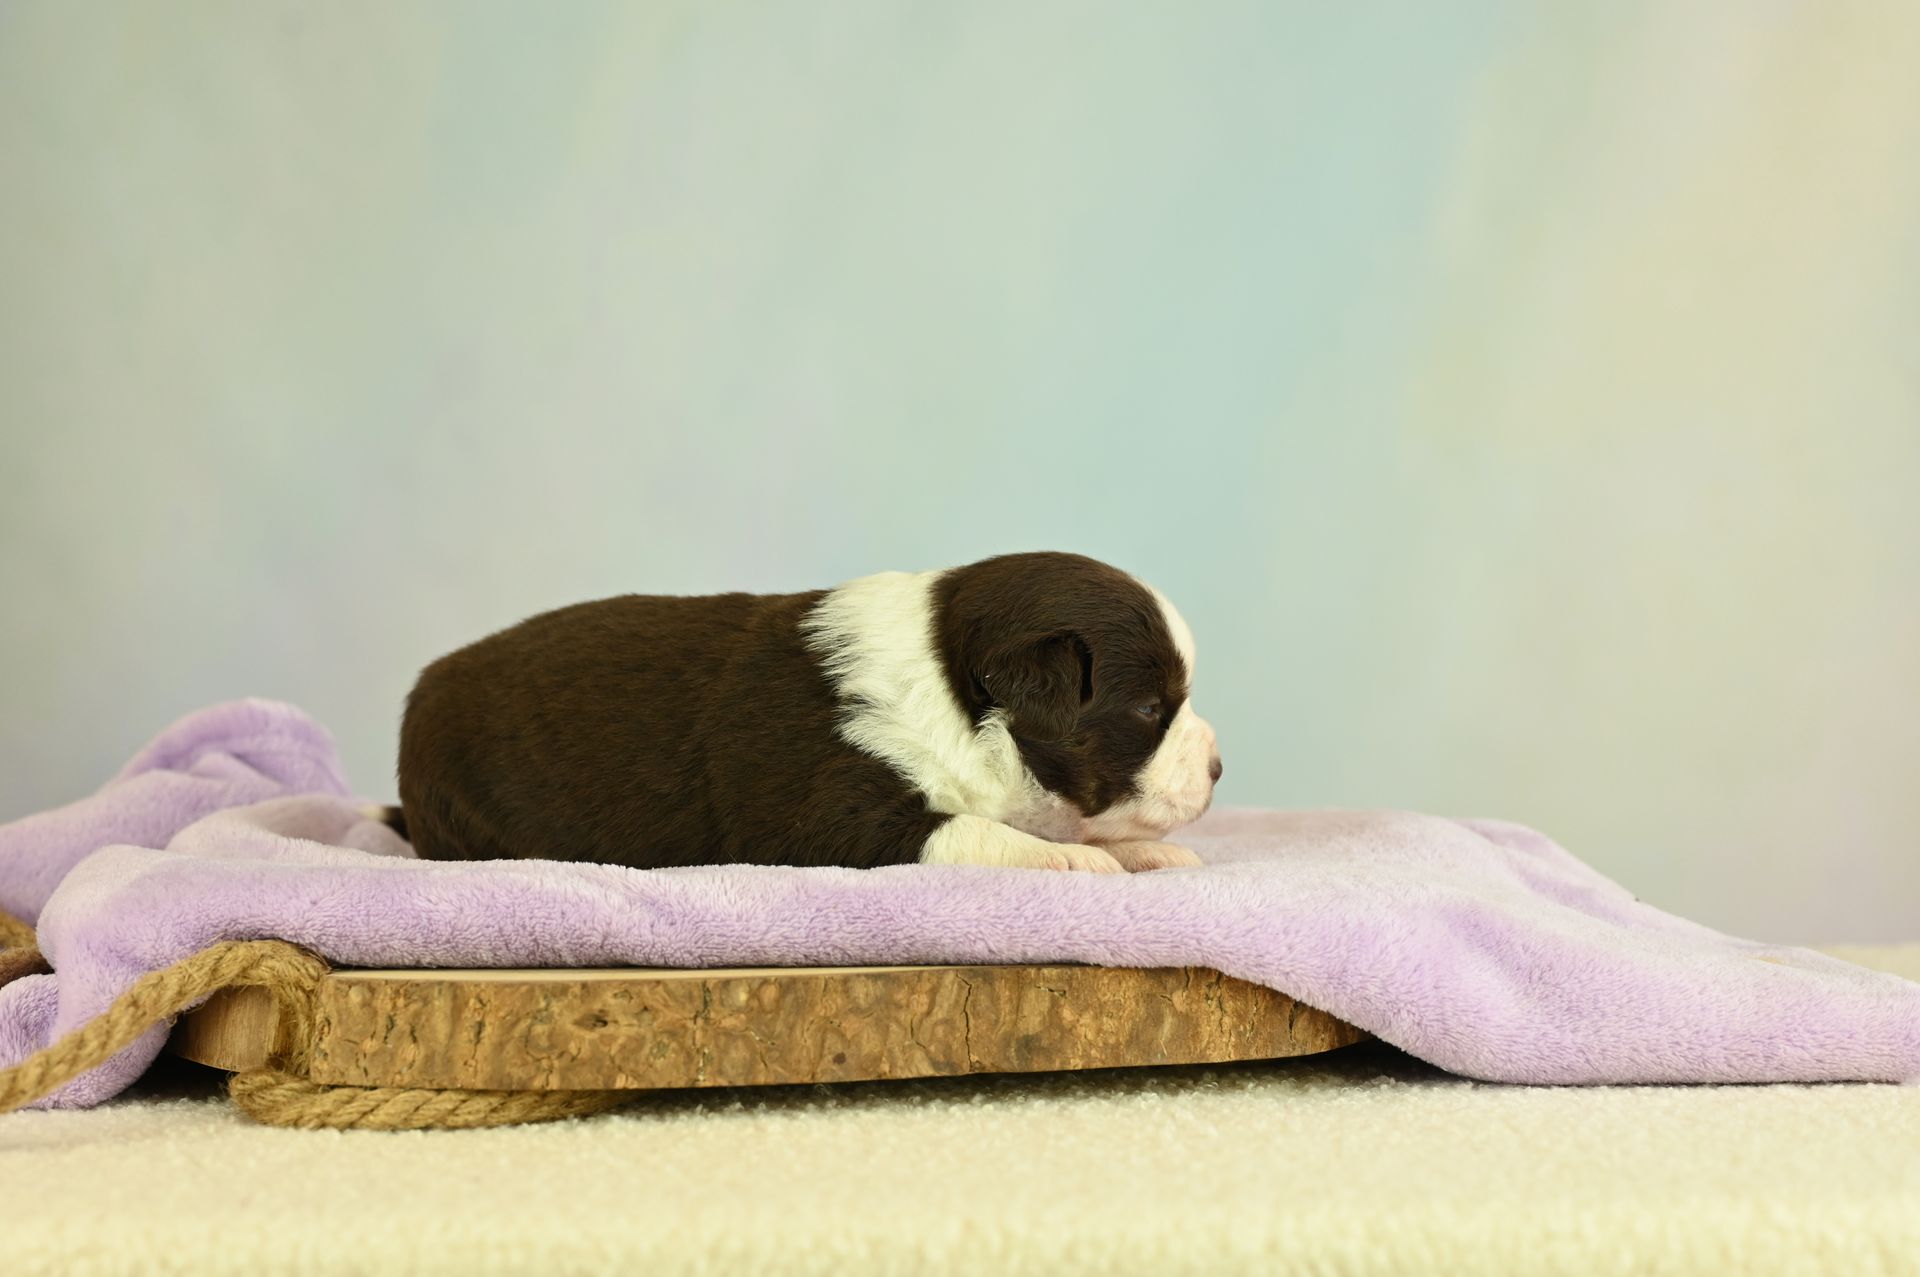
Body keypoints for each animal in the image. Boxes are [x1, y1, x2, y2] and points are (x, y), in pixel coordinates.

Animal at [391, 552, 1220, 874]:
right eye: (1150, 706)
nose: (1218, 766)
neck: (949, 683)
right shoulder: (831, 815)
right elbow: (972, 829)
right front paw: (1077, 858)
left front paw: (1141, 851)